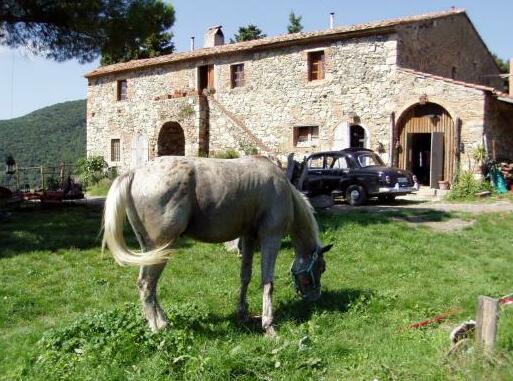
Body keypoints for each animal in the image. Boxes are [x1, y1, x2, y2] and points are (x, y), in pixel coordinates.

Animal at [102, 156, 330, 334]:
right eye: (321, 268)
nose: (315, 297)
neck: (284, 190)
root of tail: (135, 173)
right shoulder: (270, 238)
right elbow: (267, 282)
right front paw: (268, 324)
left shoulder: (249, 238)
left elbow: (245, 276)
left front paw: (243, 313)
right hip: (161, 247)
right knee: (147, 285)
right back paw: (157, 326)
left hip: (150, 250)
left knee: (149, 285)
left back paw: (162, 321)